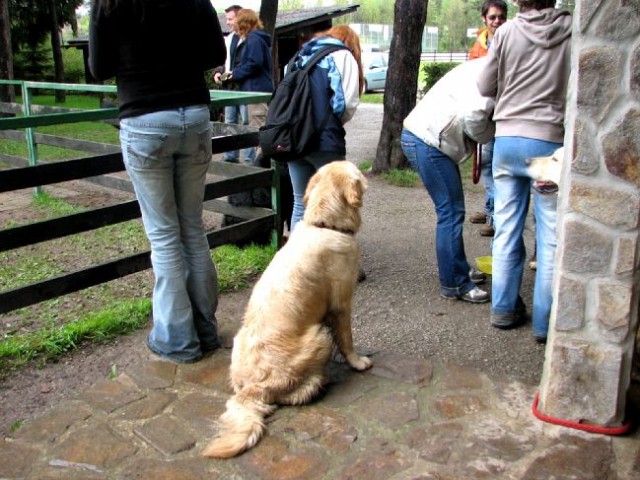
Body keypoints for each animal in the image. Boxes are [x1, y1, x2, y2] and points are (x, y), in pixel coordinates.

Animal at [202, 160, 372, 458]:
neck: (325, 225)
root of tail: (251, 389)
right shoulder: (341, 304)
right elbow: (347, 339)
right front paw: (357, 362)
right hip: (318, 335)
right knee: (291, 395)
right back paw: (317, 383)